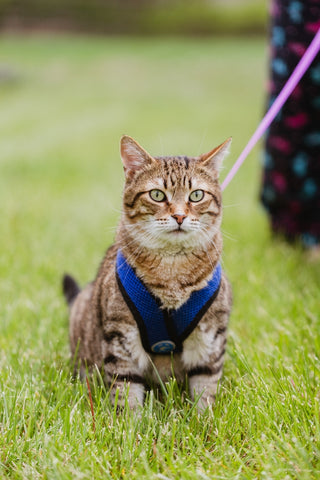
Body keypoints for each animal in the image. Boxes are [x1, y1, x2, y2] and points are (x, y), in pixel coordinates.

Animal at [62, 134, 232, 408]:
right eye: (157, 195)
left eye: (196, 195)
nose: (179, 216)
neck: (172, 271)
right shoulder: (121, 342)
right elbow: (126, 395)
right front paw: (129, 420)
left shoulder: (210, 340)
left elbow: (205, 393)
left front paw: (205, 419)